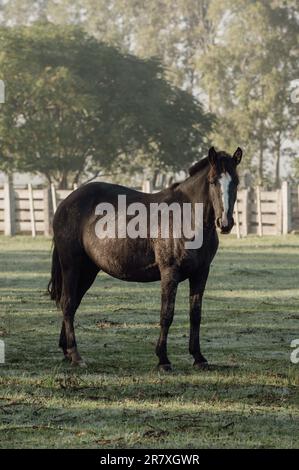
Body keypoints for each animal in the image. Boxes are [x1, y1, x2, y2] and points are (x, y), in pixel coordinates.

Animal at [48, 147, 243, 370]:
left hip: (88, 270)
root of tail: (65, 203)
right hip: (71, 266)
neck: (188, 217)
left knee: (73, 304)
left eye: (236, 182)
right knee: (68, 303)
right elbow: (167, 314)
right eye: (212, 181)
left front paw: (198, 357)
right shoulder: (169, 272)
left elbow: (195, 315)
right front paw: (163, 359)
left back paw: (66, 351)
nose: (225, 223)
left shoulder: (201, 273)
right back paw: (75, 355)